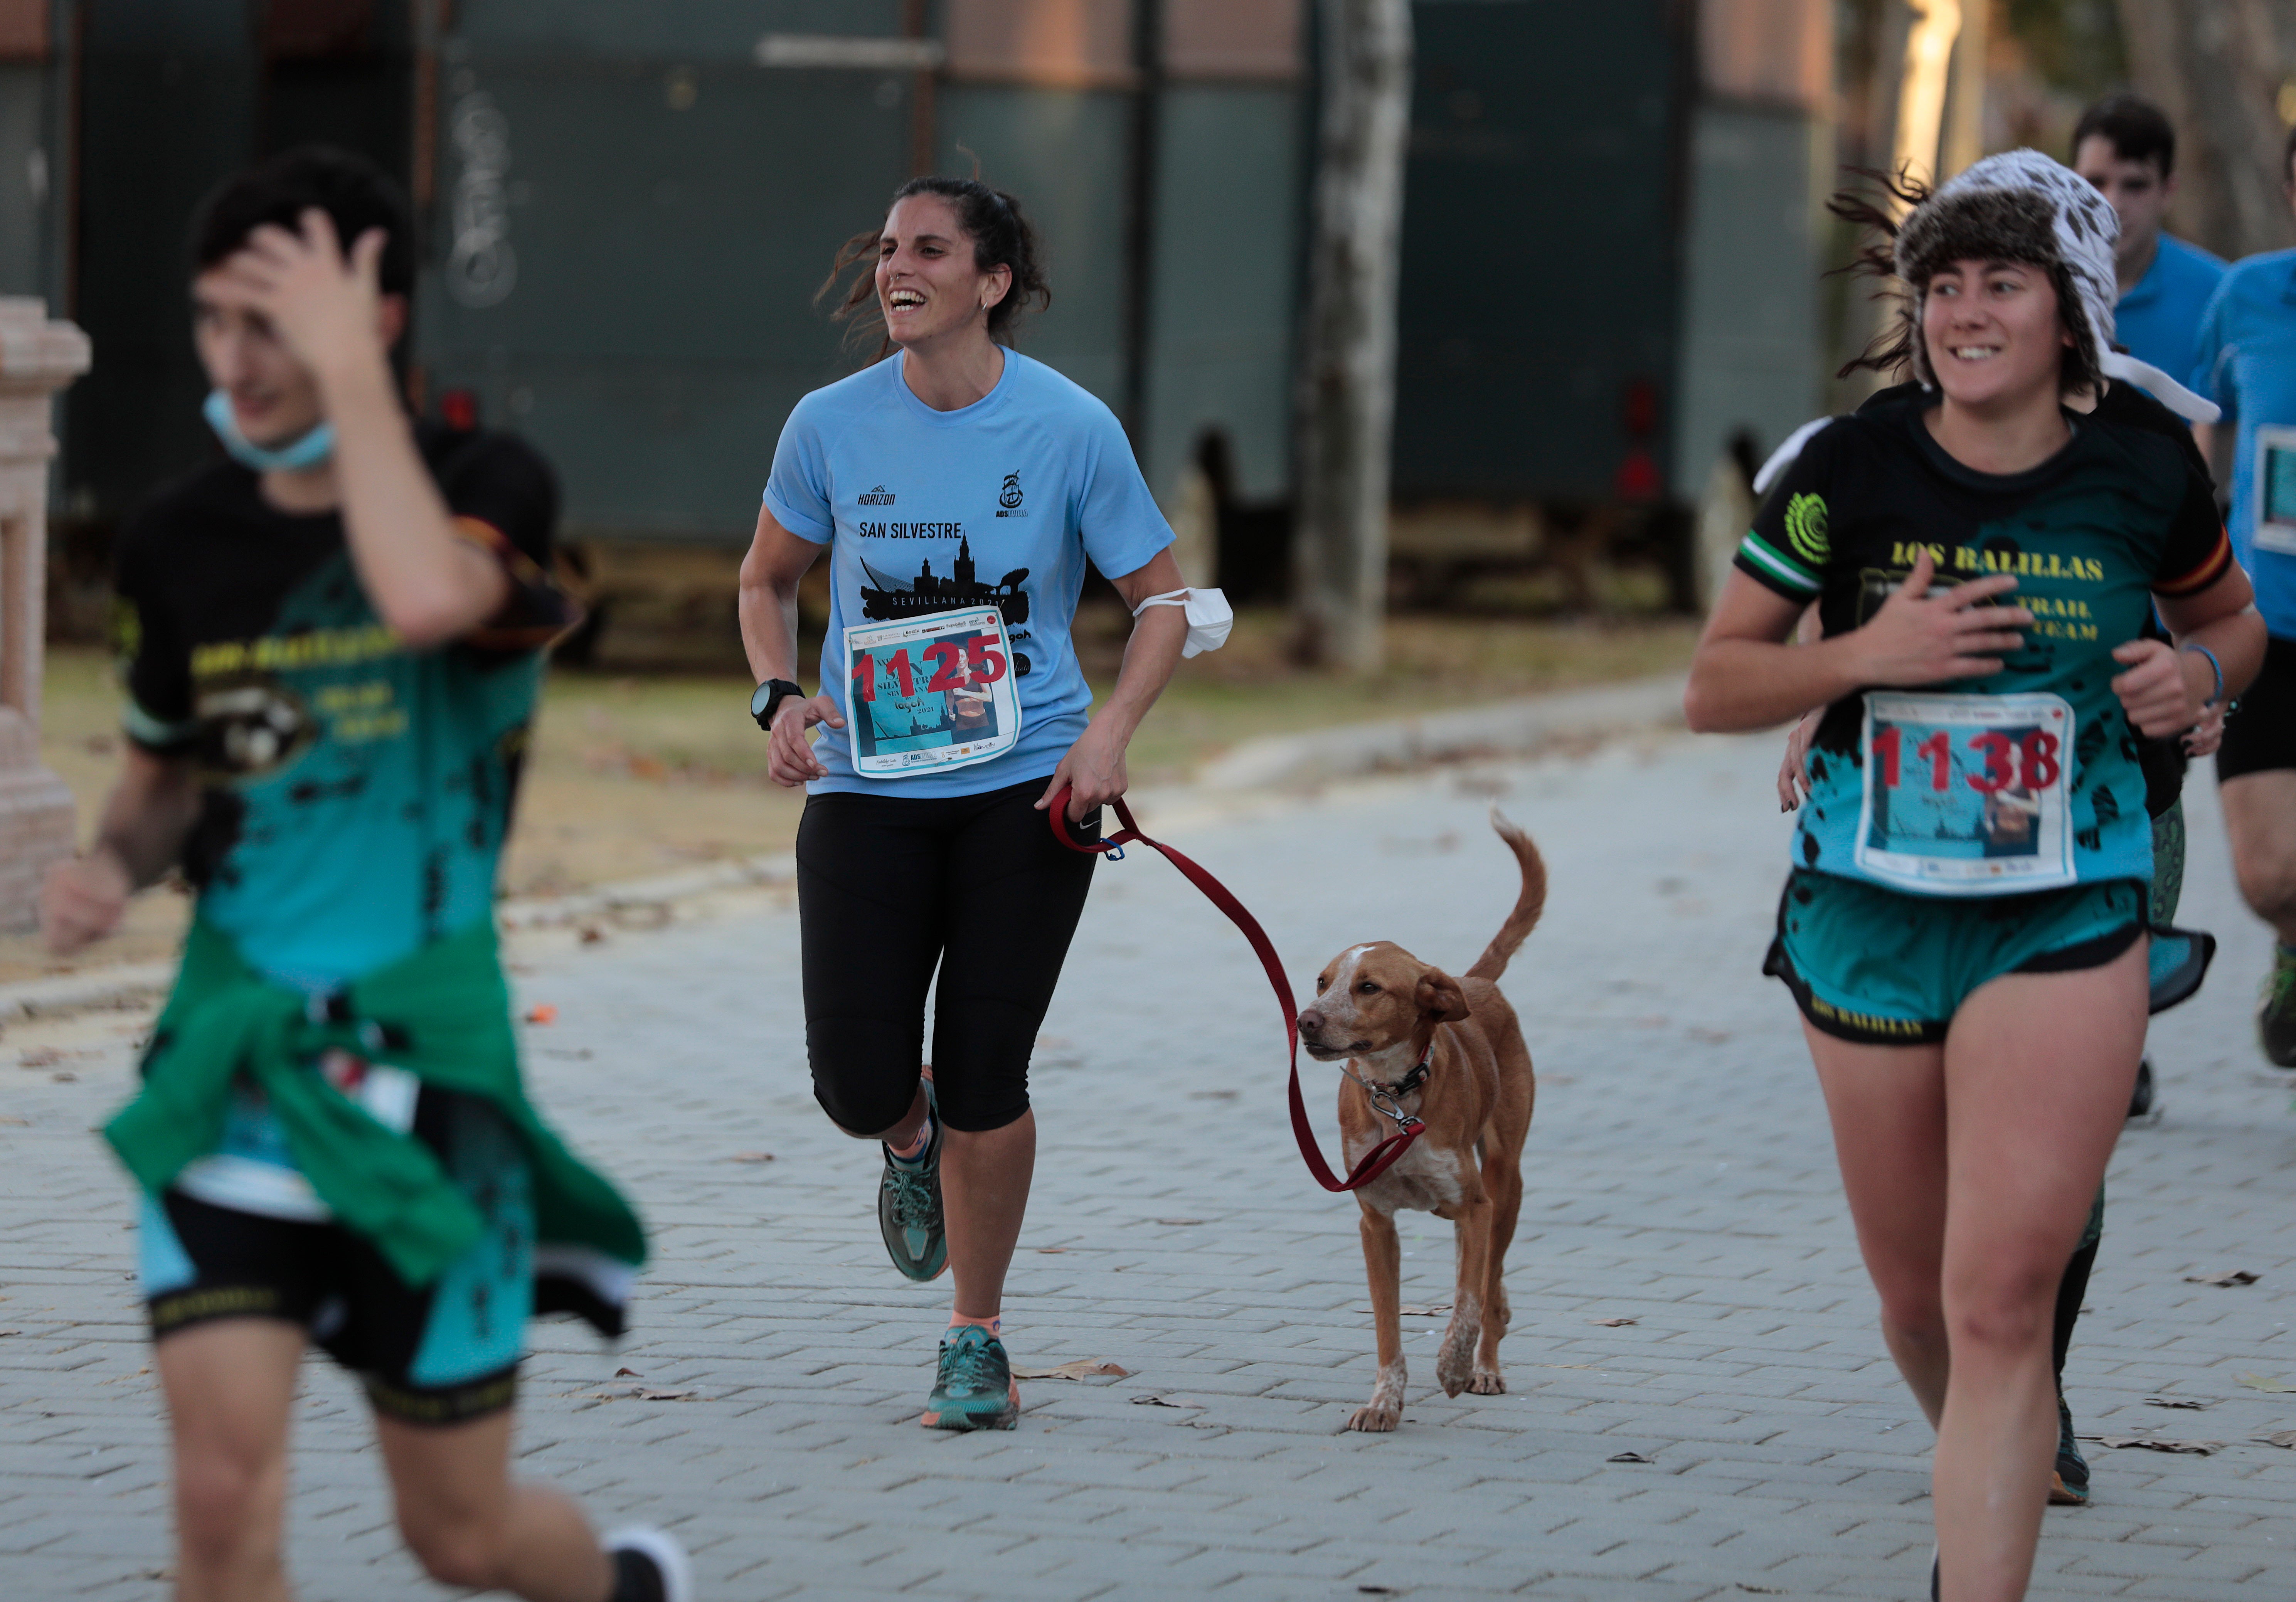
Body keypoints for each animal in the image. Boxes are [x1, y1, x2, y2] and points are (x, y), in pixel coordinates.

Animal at [1295, 803, 1543, 1432]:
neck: (1393, 1097)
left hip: (1504, 1179)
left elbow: (1468, 1302)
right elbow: (1389, 1329)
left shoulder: (1476, 1206)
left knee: (1488, 1281)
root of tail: (1472, 980)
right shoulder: (1375, 1223)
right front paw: (1384, 1402)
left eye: (1369, 987)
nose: (1306, 1020)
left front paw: (1455, 1365)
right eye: (1322, 981)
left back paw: (1484, 1365)